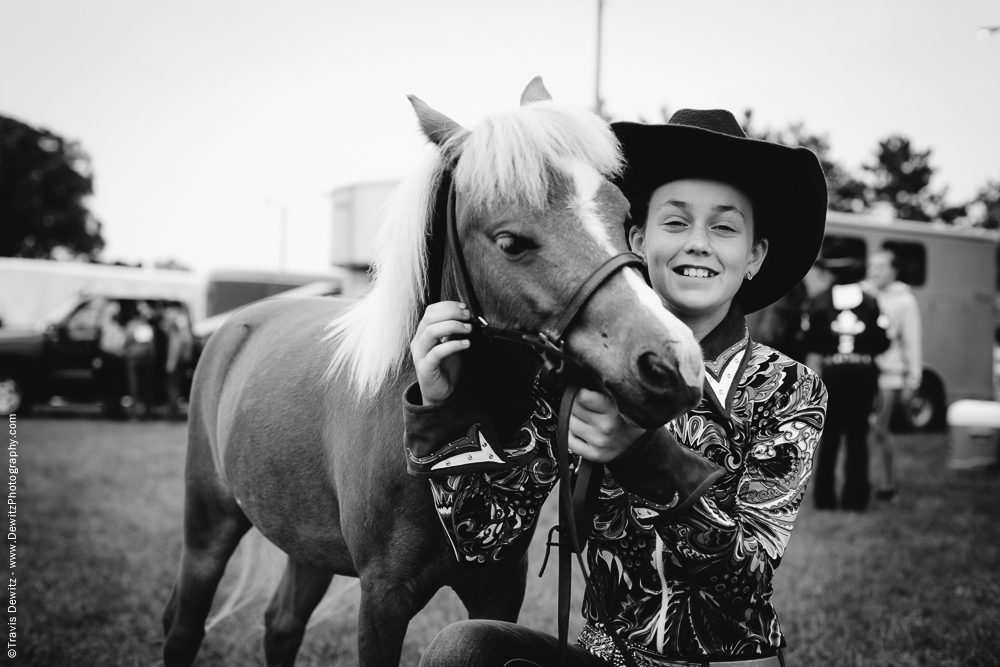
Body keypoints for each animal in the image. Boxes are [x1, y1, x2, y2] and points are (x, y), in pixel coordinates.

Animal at [162, 79, 704, 667]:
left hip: (306, 546)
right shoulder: (382, 599)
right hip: (208, 528)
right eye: (510, 241)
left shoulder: (498, 589)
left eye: (624, 215)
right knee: (184, 624)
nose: (672, 362)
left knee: (281, 624)